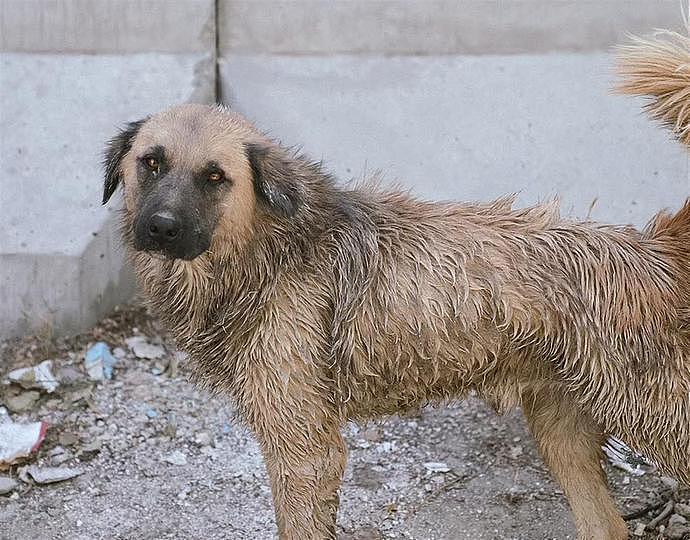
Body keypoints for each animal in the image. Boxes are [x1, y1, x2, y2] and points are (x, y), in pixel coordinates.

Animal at [102, 39, 688, 540]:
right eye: (151, 162)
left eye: (215, 176)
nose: (161, 228)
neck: (267, 252)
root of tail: (654, 248)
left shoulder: (305, 450)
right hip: (560, 429)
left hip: (658, 419)